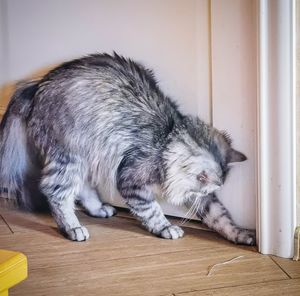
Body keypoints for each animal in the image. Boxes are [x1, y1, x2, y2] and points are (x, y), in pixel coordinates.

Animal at [0, 53, 255, 245]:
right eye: (202, 186)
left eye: (205, 192)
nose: (198, 197)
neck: (167, 140)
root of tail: (37, 84)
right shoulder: (131, 179)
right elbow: (152, 210)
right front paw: (166, 227)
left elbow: (219, 216)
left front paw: (240, 235)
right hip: (70, 154)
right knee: (55, 191)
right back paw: (73, 228)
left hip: (88, 153)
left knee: (83, 186)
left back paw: (98, 209)